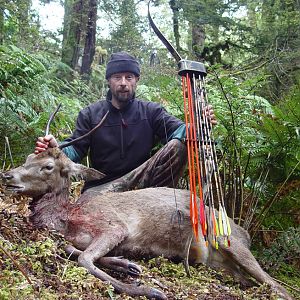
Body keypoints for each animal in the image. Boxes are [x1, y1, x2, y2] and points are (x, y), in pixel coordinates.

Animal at [0, 148, 290, 300]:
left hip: (228, 240)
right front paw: (127, 265)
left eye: (48, 166)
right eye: (28, 158)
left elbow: (84, 259)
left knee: (276, 284)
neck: (66, 219)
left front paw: (148, 289)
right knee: (253, 281)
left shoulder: (113, 225)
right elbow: (75, 251)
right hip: (219, 264)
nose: (7, 175)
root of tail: (245, 232)